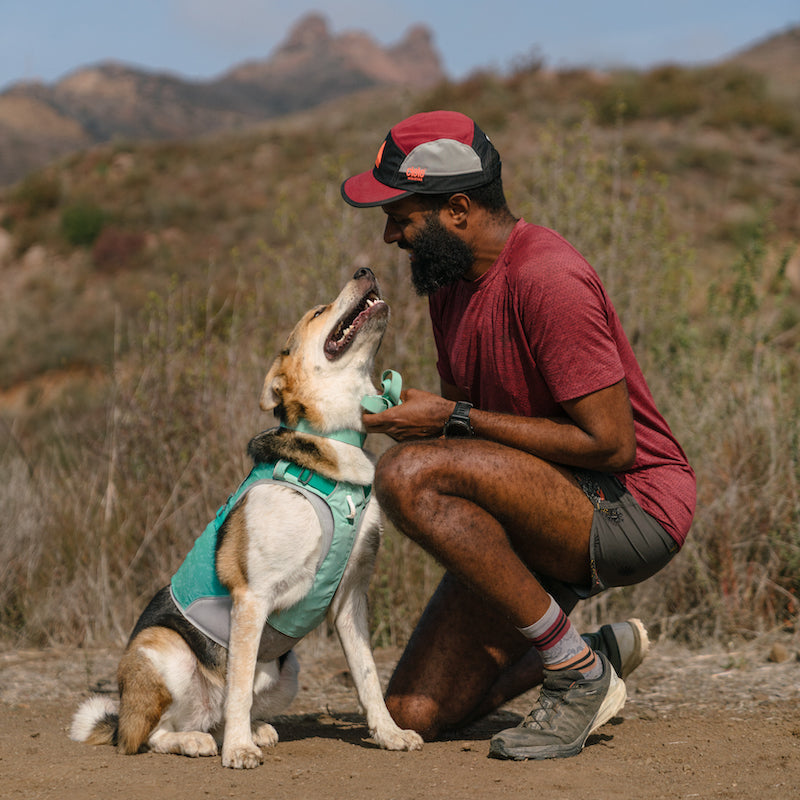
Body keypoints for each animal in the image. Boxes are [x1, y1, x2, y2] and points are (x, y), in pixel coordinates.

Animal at [70, 270, 424, 768]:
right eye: (317, 312)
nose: (365, 271)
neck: (332, 441)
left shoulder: (351, 599)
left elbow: (369, 677)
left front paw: (388, 733)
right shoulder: (252, 597)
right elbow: (238, 685)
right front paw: (238, 751)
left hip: (288, 670)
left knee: (213, 717)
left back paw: (249, 731)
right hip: (163, 649)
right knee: (148, 735)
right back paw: (201, 741)